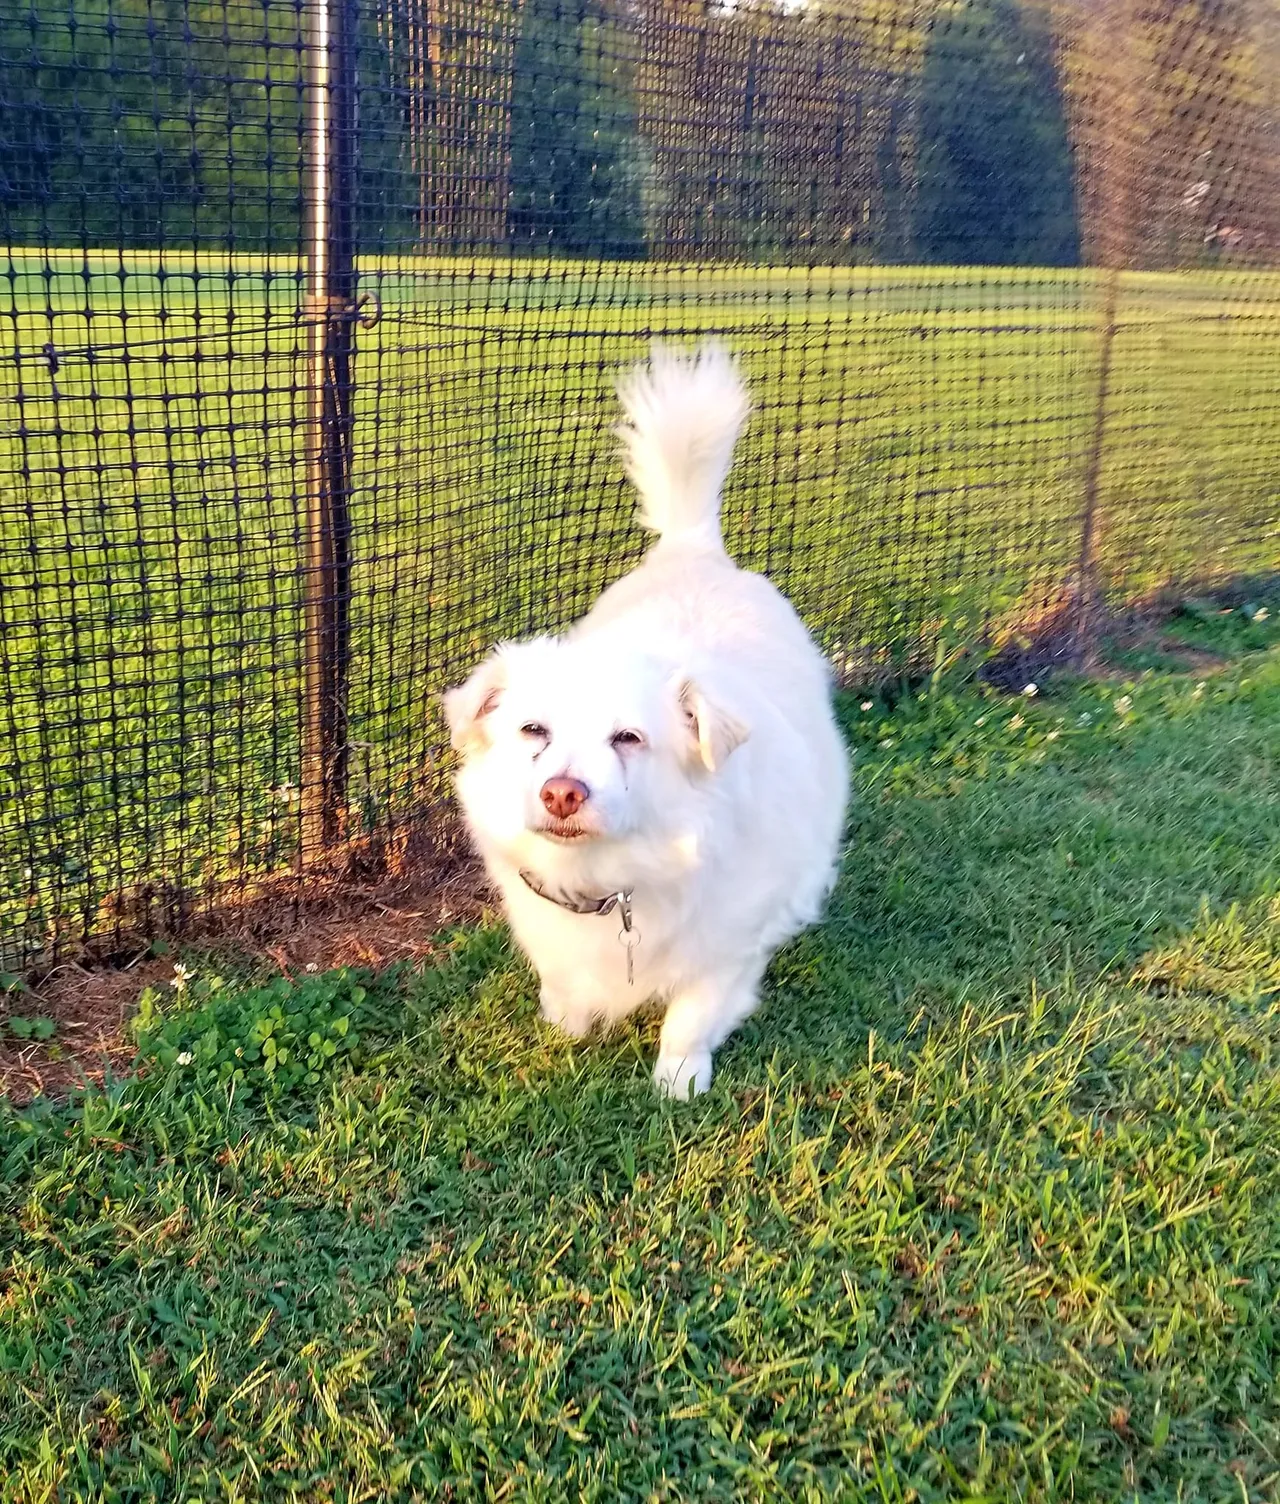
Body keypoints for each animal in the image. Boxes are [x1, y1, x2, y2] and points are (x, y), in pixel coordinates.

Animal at [442, 344, 848, 1094]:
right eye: (533, 731)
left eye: (628, 738)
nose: (562, 794)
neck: (611, 878)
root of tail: (694, 547)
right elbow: (563, 984)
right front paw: (565, 1025)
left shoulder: (726, 948)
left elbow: (693, 1013)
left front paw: (679, 1081)